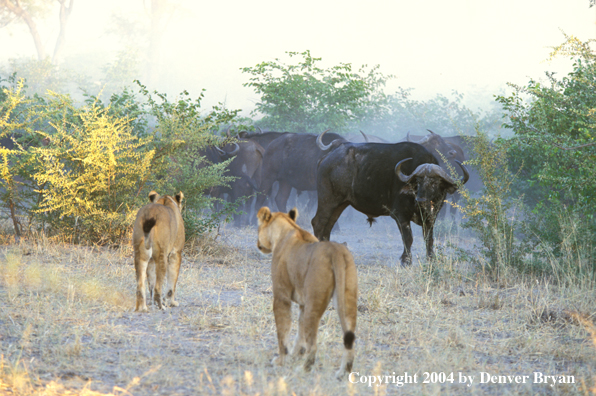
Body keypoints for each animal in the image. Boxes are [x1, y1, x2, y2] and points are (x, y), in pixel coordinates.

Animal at [312, 141, 470, 264]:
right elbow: (408, 238)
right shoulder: (400, 215)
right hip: (328, 200)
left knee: (329, 225)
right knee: (318, 222)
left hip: (340, 204)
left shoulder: (431, 218)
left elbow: (429, 239)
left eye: (435, 182)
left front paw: (431, 259)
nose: (420, 200)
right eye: (418, 181)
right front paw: (406, 261)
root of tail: (326, 158)